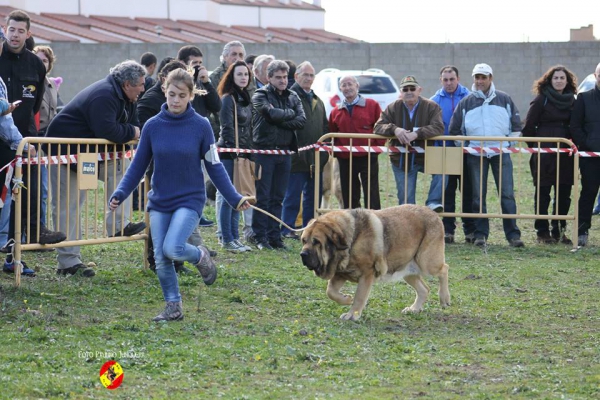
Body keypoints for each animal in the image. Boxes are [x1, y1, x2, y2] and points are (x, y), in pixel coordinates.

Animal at [300, 205, 450, 320]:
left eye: (316, 242)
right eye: (303, 240)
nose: (303, 254)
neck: (352, 239)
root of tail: (433, 213)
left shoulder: (366, 274)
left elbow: (359, 296)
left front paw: (352, 315)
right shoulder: (340, 273)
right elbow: (330, 291)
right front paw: (346, 299)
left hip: (426, 262)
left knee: (444, 269)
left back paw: (444, 298)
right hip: (407, 270)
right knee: (424, 289)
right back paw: (414, 309)